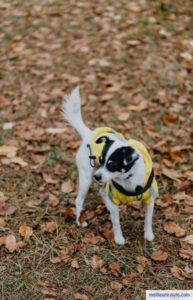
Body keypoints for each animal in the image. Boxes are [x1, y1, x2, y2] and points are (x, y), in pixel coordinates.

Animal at [62, 86, 158, 244]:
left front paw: (148, 234)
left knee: (102, 192)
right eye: (100, 160)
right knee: (79, 200)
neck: (128, 179)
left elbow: (148, 219)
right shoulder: (114, 198)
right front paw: (119, 238)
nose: (97, 176)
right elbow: (116, 222)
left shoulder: (150, 199)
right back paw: (79, 221)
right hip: (86, 178)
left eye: (112, 165)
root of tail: (89, 134)